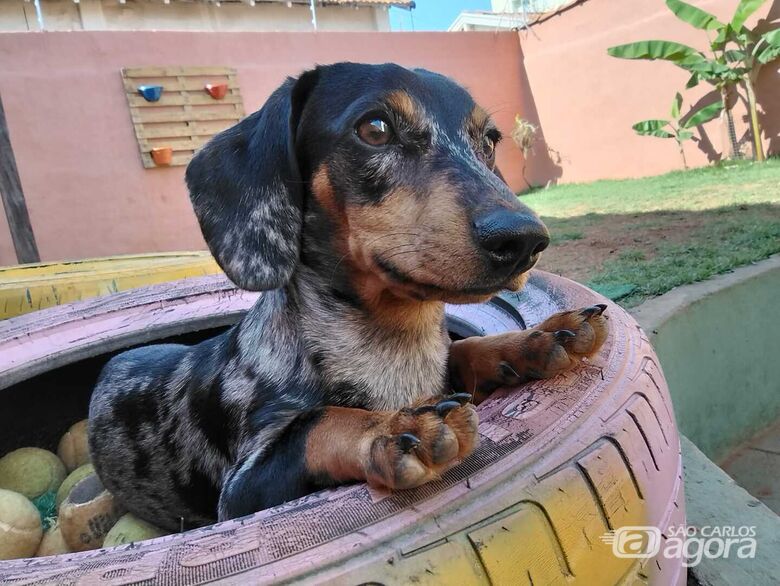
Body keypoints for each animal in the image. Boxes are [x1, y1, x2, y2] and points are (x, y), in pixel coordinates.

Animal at [88, 61, 608, 528]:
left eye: (491, 140)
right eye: (374, 128)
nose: (523, 239)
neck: (392, 343)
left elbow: (464, 350)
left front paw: (537, 339)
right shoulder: (240, 493)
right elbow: (321, 422)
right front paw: (394, 427)